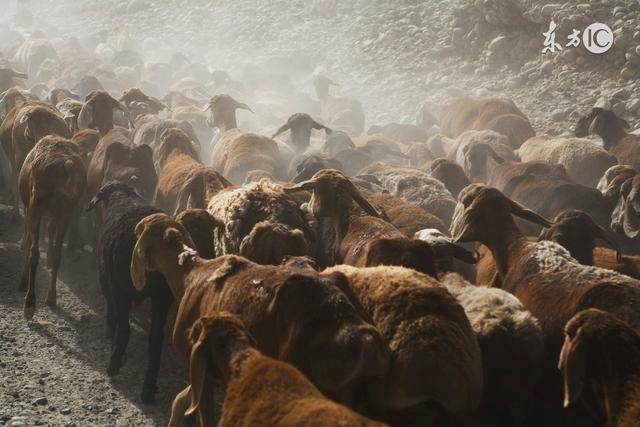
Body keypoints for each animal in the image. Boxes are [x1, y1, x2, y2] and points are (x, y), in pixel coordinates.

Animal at [18, 135, 85, 320]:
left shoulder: (34, 209)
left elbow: (32, 248)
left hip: (38, 207)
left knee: (34, 251)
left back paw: (29, 301)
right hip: (60, 211)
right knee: (51, 253)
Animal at [87, 182, 174, 402]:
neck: (122, 197)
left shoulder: (108, 282)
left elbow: (111, 312)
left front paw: (109, 333)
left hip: (123, 289)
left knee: (125, 330)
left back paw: (114, 365)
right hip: (163, 296)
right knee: (156, 339)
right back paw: (148, 389)